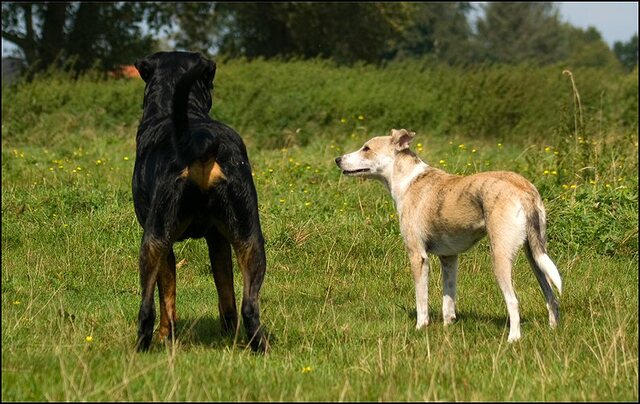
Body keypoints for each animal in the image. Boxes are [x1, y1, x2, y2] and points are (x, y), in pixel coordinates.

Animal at [132, 51, 268, 350]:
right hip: (250, 236)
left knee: (146, 308)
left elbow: (167, 298)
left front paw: (166, 336)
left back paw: (141, 347)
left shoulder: (165, 244)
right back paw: (258, 346)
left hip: (153, 238)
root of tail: (200, 141)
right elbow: (225, 292)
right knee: (248, 306)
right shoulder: (218, 240)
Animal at [336, 129, 560, 340]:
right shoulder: (449, 257)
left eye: (366, 148)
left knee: (513, 301)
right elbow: (448, 299)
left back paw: (513, 338)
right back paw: (553, 330)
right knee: (551, 296)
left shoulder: (418, 256)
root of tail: (524, 190)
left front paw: (420, 327)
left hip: (500, 257)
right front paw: (448, 327)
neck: (409, 180)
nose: (337, 160)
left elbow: (421, 299)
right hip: (535, 256)